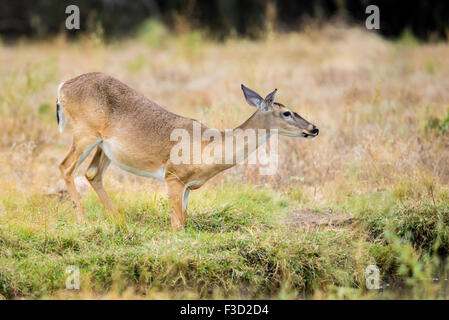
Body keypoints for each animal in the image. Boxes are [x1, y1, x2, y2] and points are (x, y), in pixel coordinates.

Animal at [57, 73, 318, 230]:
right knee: (65, 167)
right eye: (286, 112)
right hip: (85, 133)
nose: (314, 128)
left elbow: (183, 220)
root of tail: (62, 87)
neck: (209, 147)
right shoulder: (172, 177)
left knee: (92, 173)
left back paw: (120, 221)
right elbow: (176, 225)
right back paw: (83, 221)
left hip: (103, 146)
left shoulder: (187, 187)